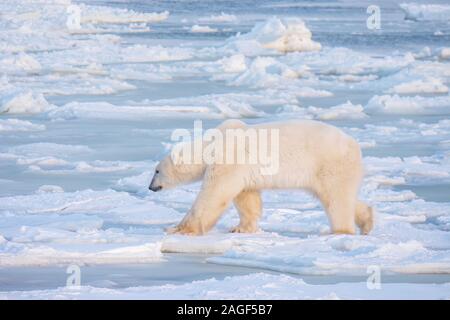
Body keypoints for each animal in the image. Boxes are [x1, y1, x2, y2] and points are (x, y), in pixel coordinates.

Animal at [149, 119, 372, 235]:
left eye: (156, 171)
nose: (150, 187)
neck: (211, 145)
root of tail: (354, 145)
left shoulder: (229, 160)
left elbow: (214, 194)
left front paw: (177, 229)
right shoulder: (241, 170)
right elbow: (246, 197)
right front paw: (241, 228)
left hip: (329, 164)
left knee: (336, 198)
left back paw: (340, 231)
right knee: (340, 196)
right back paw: (367, 221)